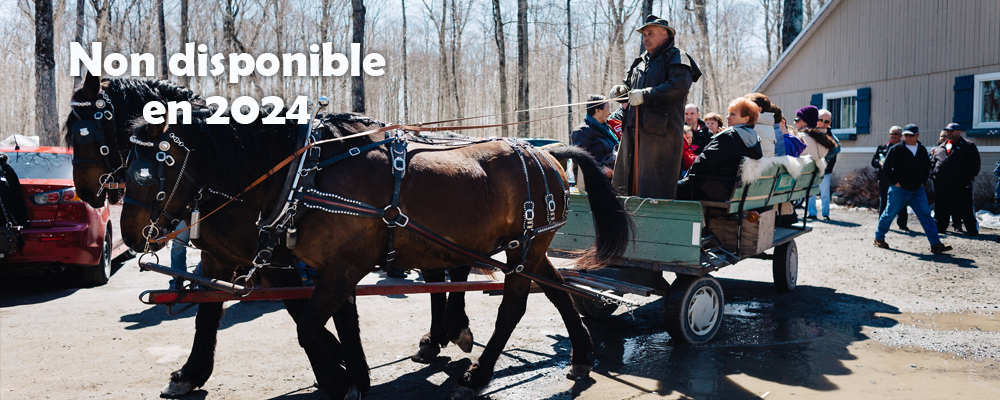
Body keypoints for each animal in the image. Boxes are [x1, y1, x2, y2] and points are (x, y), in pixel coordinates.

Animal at [119, 110, 633, 399]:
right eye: (124, 164)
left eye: (150, 170)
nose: (129, 235)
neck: (305, 174)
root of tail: (547, 153)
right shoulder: (324, 268)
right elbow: (336, 322)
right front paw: (355, 374)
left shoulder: (333, 266)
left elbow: (307, 325)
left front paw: (335, 379)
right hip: (531, 247)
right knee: (559, 291)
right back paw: (580, 354)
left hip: (524, 247)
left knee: (514, 306)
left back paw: (478, 374)